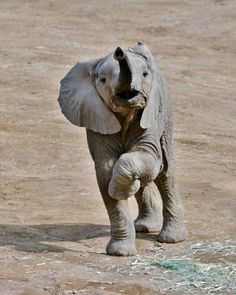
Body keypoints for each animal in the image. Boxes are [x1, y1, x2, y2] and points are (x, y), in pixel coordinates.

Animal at [58, 42, 187, 256]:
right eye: (103, 80)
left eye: (145, 74)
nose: (119, 52)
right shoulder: (97, 117)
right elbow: (105, 170)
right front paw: (120, 253)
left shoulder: (151, 116)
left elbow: (151, 160)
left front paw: (121, 189)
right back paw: (144, 226)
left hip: (165, 111)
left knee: (165, 172)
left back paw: (171, 238)